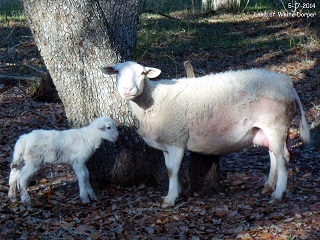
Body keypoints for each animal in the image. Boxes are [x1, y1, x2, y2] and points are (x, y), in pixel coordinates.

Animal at [100, 61, 310, 207]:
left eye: (142, 73)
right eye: (117, 72)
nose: (128, 89)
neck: (153, 99)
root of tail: (287, 84)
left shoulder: (177, 138)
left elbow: (173, 169)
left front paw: (170, 199)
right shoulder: (167, 141)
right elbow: (169, 169)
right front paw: (176, 192)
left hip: (275, 124)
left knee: (283, 159)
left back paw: (277, 194)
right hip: (268, 128)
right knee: (275, 154)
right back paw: (268, 187)